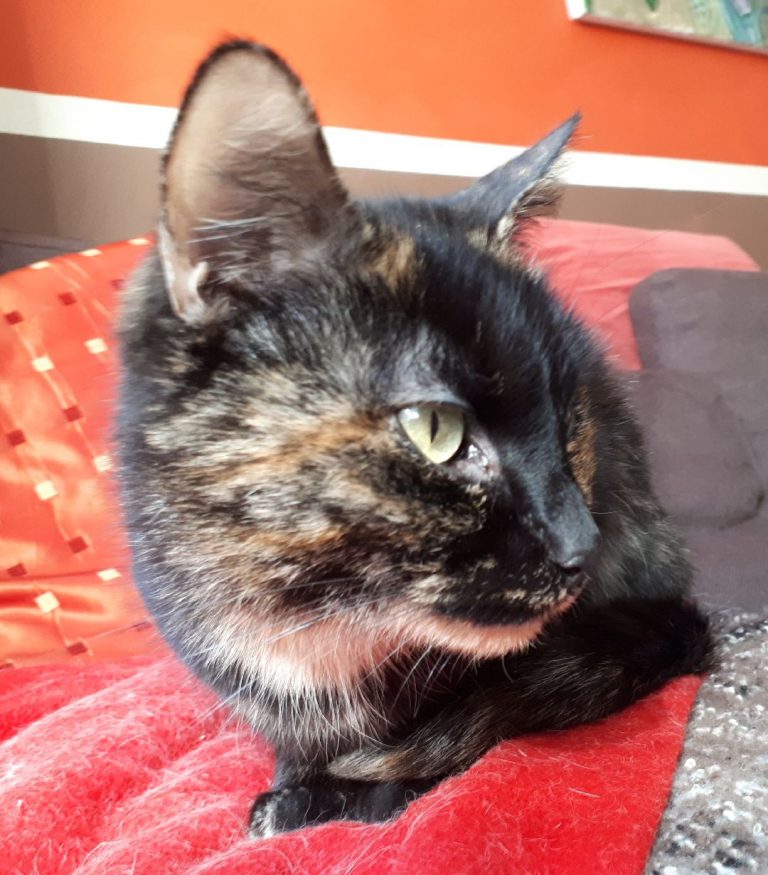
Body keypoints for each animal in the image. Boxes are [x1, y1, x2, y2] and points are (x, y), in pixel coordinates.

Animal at [116, 40, 713, 837]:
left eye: (567, 414)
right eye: (437, 430)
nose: (581, 544)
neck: (317, 637)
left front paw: (356, 797)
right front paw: (293, 788)